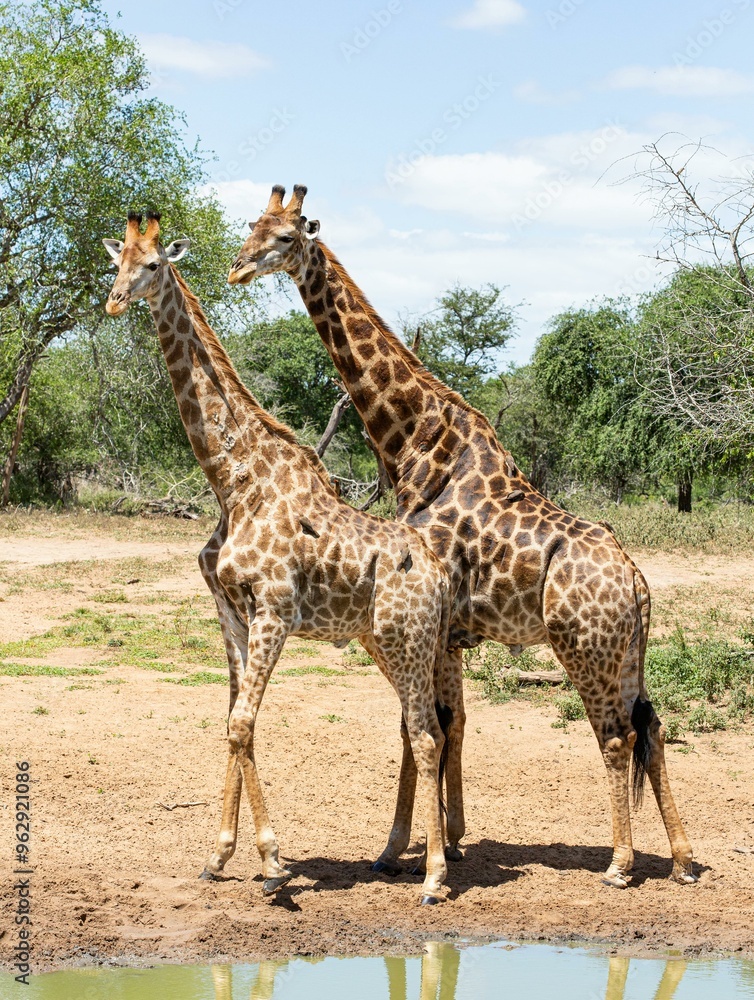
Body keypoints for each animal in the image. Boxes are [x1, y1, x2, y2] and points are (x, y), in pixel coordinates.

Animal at [102, 211, 456, 904]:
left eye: (153, 264)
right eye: (116, 263)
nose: (114, 301)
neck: (232, 481)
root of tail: (437, 571)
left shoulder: (274, 609)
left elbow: (242, 724)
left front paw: (270, 864)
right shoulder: (230, 609)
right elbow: (234, 721)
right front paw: (219, 856)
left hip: (407, 638)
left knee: (427, 734)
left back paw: (433, 877)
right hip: (384, 641)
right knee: (420, 726)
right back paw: (410, 858)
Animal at [227, 185, 697, 889]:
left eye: (285, 238)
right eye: (252, 225)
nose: (237, 268)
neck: (415, 442)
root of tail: (638, 581)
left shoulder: (428, 622)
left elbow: (422, 727)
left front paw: (404, 848)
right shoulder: (446, 631)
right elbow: (445, 726)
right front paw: (445, 838)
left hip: (583, 647)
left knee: (616, 737)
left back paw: (619, 863)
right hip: (627, 652)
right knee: (653, 727)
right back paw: (684, 859)